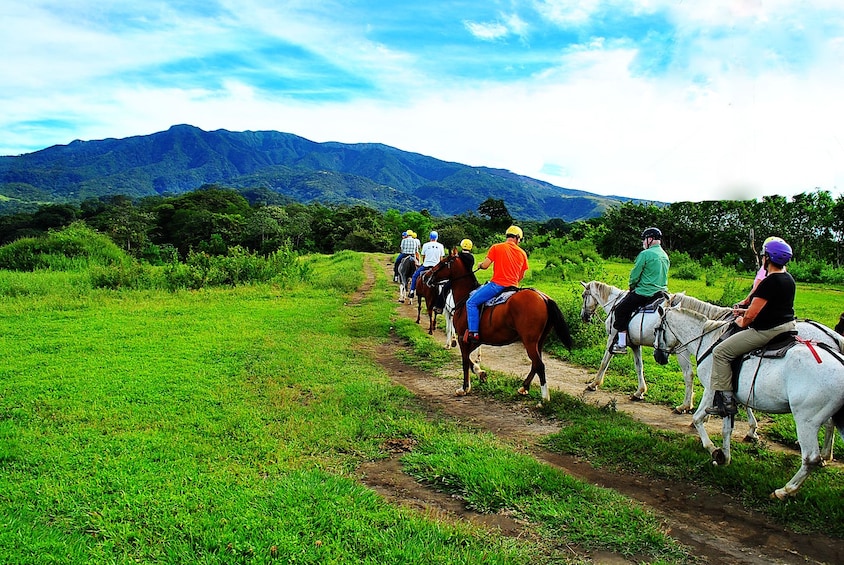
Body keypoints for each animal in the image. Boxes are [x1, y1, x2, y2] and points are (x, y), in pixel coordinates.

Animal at [422, 253, 572, 398]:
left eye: (442, 263)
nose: (426, 276)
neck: (465, 297)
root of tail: (543, 298)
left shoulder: (462, 339)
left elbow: (465, 361)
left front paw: (464, 388)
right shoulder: (474, 340)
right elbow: (469, 360)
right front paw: (480, 373)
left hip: (529, 341)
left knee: (539, 365)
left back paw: (544, 398)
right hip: (539, 342)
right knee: (535, 364)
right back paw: (524, 387)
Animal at [660, 304, 844, 498]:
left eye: (658, 329)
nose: (659, 356)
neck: (709, 340)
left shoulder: (712, 389)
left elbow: (697, 419)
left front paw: (713, 448)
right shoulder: (728, 395)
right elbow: (727, 429)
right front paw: (725, 456)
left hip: (806, 420)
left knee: (810, 458)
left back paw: (785, 490)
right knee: (828, 429)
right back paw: (824, 457)